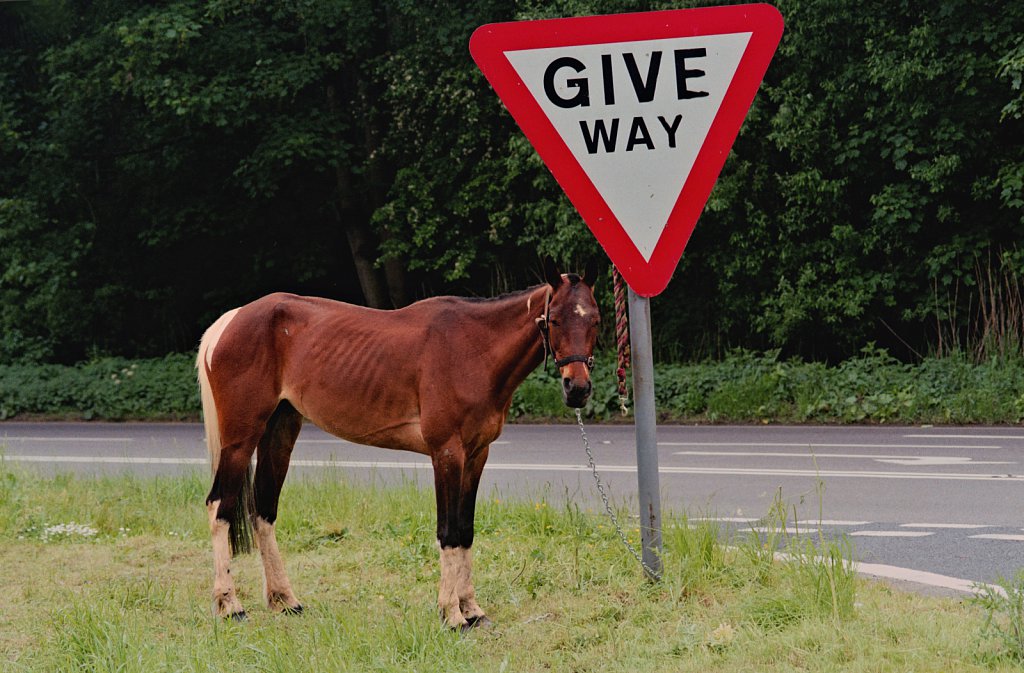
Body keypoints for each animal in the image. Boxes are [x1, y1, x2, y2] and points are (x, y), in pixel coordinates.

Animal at [193, 260, 598, 626]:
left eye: (594, 320)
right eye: (555, 320)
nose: (577, 388)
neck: (473, 348)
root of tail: (231, 320)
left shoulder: (477, 455)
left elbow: (466, 530)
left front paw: (472, 610)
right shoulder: (447, 453)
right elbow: (449, 532)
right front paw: (452, 615)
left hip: (279, 433)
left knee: (263, 511)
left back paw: (285, 601)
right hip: (240, 439)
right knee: (220, 507)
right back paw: (230, 606)